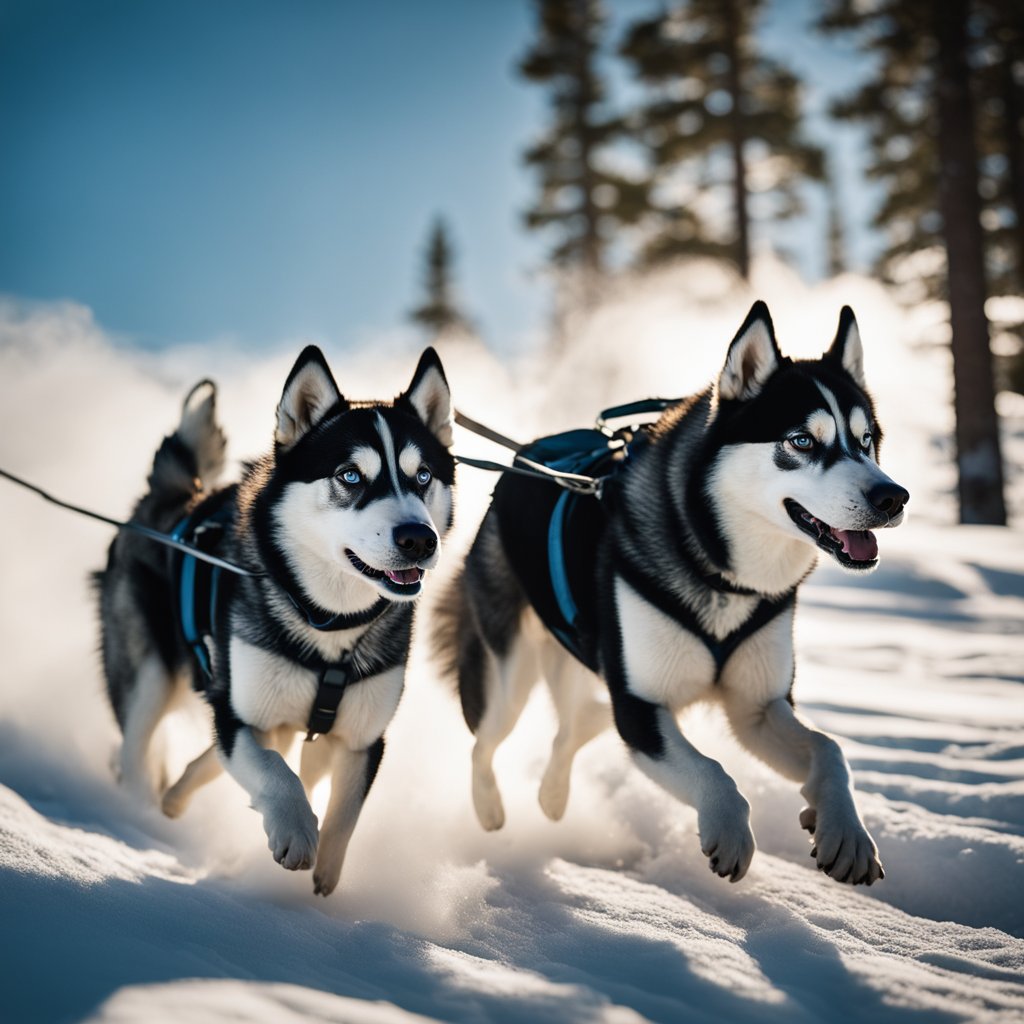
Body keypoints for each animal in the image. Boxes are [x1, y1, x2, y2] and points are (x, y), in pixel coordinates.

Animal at [97, 346, 454, 897]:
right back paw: (139, 817)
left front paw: (325, 874)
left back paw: (174, 797)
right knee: (137, 750)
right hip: (150, 676)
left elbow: (344, 809)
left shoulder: (360, 737)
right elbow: (273, 770)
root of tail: (173, 497)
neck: (330, 624)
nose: (419, 538)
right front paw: (295, 831)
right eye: (350, 475)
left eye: (422, 477)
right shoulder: (240, 711)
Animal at [436, 303, 909, 888]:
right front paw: (729, 827)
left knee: (570, 729)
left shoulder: (757, 707)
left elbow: (831, 747)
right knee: (484, 742)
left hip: (589, 679)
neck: (723, 574)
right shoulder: (641, 707)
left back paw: (552, 795)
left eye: (865, 442)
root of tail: (528, 456)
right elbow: (713, 770)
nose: (894, 497)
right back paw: (489, 810)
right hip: (509, 675)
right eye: (801, 441)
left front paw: (845, 830)